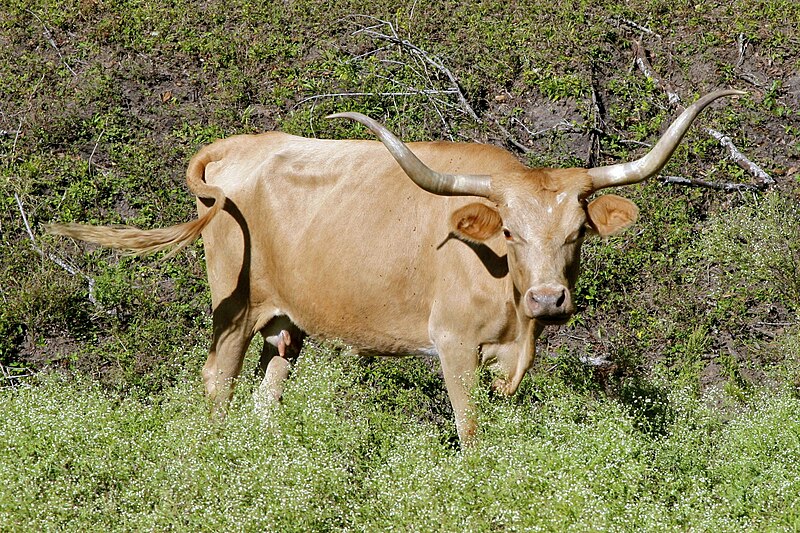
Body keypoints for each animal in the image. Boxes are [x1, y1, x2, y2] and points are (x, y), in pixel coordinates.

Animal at [45, 90, 744, 440]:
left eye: (577, 234)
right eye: (509, 232)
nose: (549, 299)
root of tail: (238, 146)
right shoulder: (454, 344)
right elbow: (471, 432)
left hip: (286, 325)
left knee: (266, 396)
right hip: (233, 308)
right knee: (217, 385)